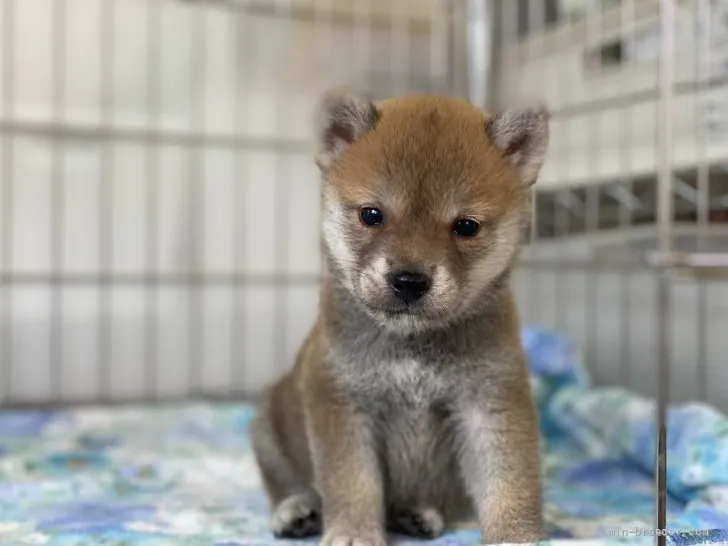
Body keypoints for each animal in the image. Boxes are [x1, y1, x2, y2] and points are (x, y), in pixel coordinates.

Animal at [253, 87, 548, 540]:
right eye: (371, 215)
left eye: (466, 226)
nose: (409, 280)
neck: (412, 347)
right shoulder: (342, 402)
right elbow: (352, 481)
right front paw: (354, 533)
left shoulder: (489, 402)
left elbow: (509, 483)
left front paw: (517, 537)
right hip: (269, 429)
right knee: (285, 482)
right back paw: (296, 509)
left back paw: (418, 512)